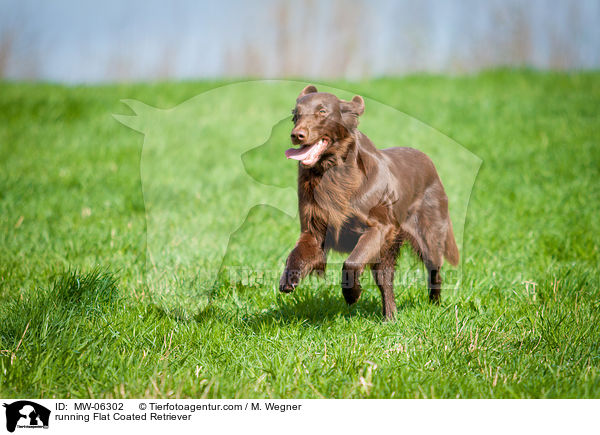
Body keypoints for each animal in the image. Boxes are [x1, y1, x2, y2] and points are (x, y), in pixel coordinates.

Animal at [278, 85, 458, 318]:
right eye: (295, 114)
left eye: (322, 112)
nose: (297, 135)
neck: (332, 173)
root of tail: (428, 160)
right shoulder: (314, 232)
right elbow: (296, 255)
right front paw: (288, 279)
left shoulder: (379, 228)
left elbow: (351, 263)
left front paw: (351, 294)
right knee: (386, 281)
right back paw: (390, 317)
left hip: (429, 238)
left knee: (434, 272)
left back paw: (433, 306)